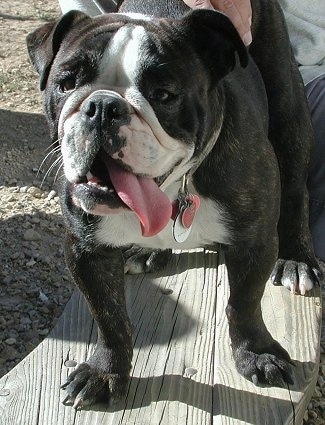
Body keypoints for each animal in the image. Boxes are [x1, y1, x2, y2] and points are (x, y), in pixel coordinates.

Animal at [27, 0, 318, 410]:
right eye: (66, 84)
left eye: (164, 94)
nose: (101, 106)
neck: (172, 188)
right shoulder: (86, 251)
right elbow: (109, 318)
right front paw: (104, 372)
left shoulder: (254, 242)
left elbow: (244, 303)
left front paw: (257, 354)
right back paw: (146, 250)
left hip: (287, 105)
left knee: (295, 187)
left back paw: (297, 261)